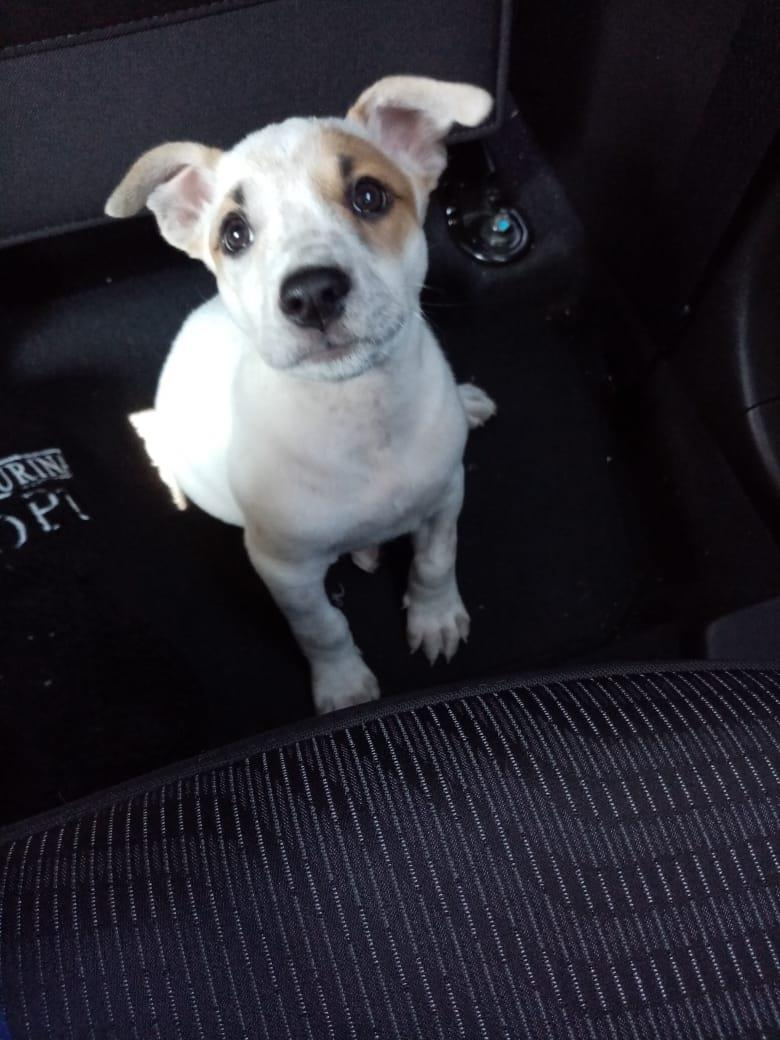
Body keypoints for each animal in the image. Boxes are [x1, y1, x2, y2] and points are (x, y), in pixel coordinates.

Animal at [106, 76, 497, 713]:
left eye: (369, 197)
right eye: (234, 234)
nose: (312, 293)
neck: (359, 412)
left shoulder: (446, 495)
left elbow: (437, 561)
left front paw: (435, 617)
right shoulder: (283, 569)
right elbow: (321, 626)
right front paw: (343, 682)